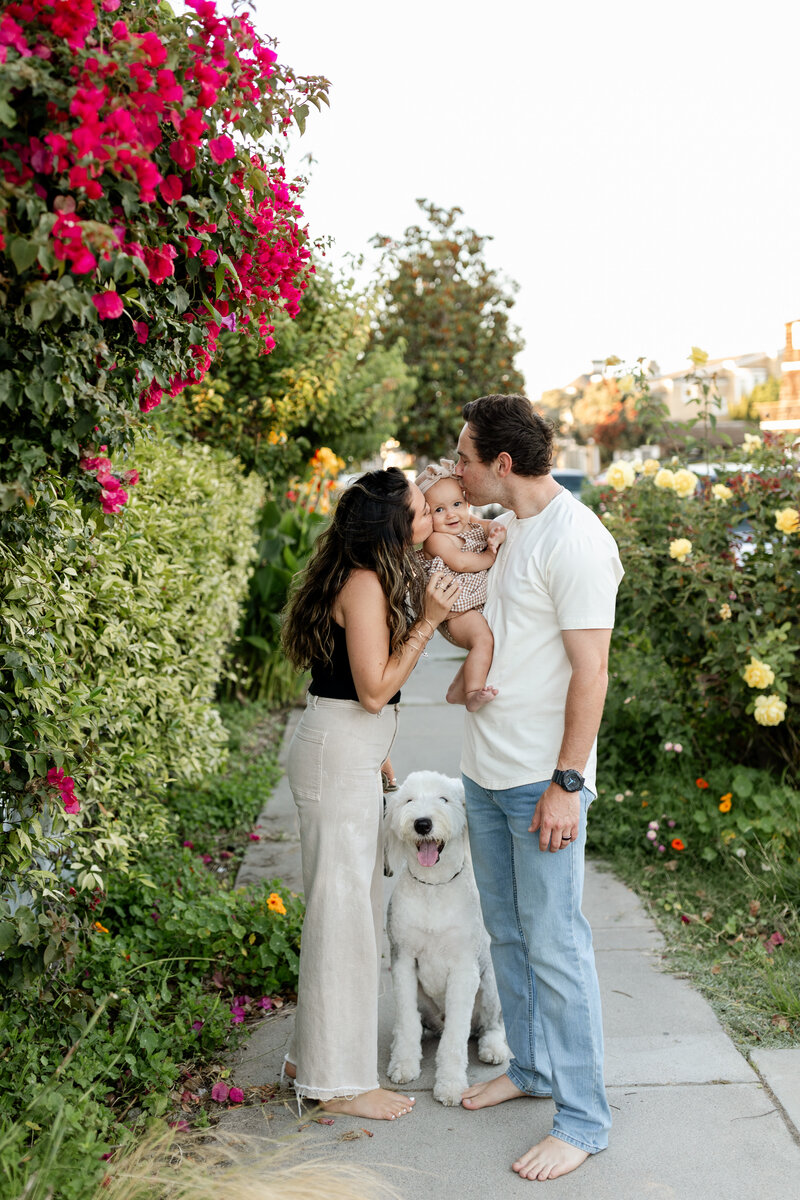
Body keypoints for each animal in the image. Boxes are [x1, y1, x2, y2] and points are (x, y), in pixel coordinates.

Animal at [383, 772, 510, 1099]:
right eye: (409, 800)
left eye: (444, 799)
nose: (422, 824)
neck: (433, 886)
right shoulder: (403, 961)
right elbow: (406, 1022)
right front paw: (403, 1064)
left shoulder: (464, 968)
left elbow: (456, 1035)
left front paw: (450, 1084)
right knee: (419, 1025)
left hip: (490, 984)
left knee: (490, 1025)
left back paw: (493, 1048)